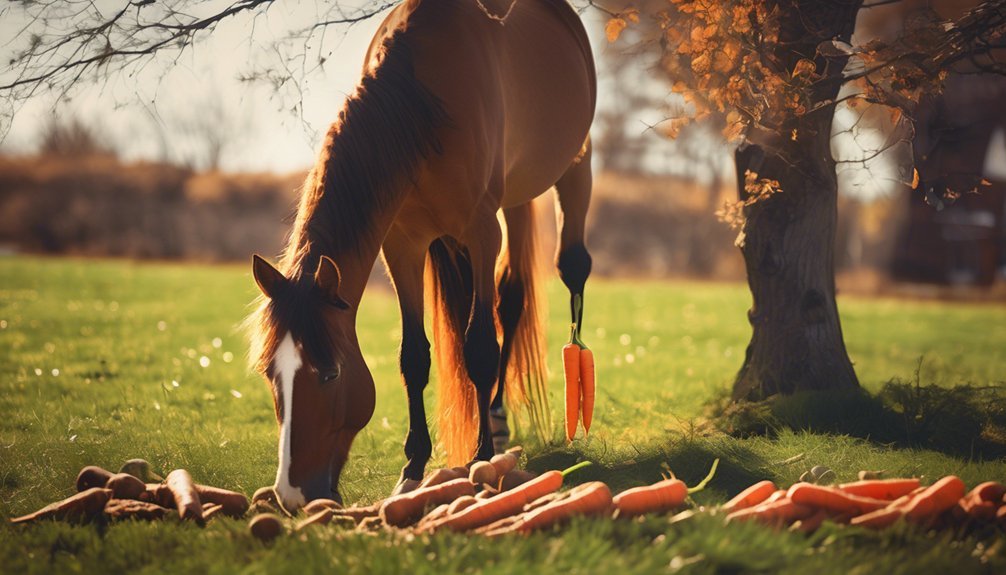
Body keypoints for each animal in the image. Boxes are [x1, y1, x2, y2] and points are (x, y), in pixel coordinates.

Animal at [247, 0, 591, 512]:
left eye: (330, 374)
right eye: (271, 373)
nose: (291, 494)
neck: (423, 103)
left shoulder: (481, 231)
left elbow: (480, 347)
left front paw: (478, 461)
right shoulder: (403, 244)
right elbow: (414, 357)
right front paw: (412, 469)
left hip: (573, 165)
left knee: (561, 273)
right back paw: (492, 417)